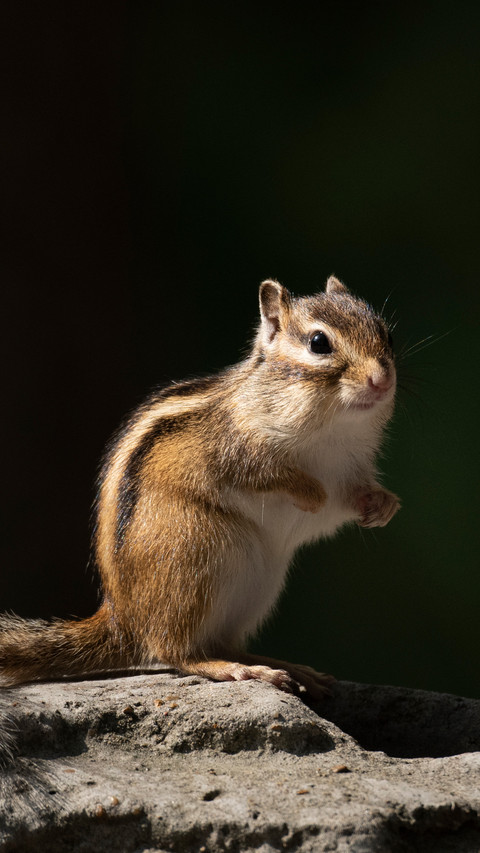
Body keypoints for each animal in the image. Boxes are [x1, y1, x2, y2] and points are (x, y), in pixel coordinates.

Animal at [0, 276, 399, 698]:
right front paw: (311, 492)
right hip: (194, 552)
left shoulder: (348, 472)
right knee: (175, 650)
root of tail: (122, 621)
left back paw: (283, 668)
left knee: (219, 642)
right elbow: (267, 475)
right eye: (319, 343)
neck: (334, 429)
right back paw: (235, 670)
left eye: (387, 334)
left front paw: (382, 504)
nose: (382, 380)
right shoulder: (232, 447)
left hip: (255, 583)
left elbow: (344, 502)